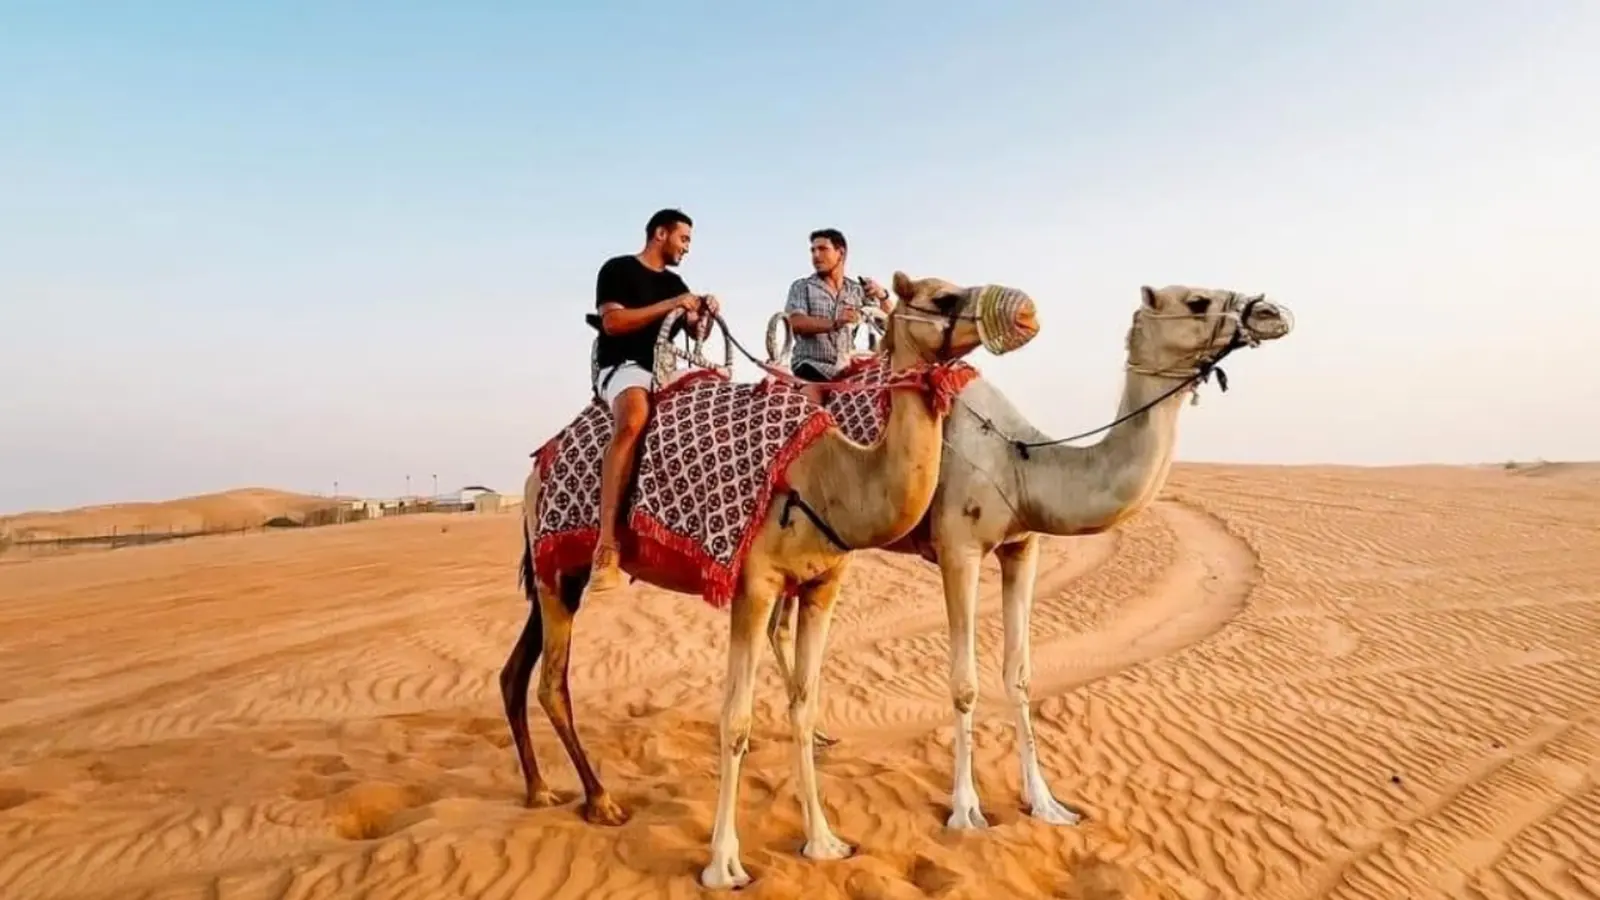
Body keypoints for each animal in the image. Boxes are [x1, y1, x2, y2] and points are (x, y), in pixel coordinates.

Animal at [503, 271, 1040, 890]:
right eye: (941, 298)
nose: (1026, 312)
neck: (827, 478)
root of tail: (535, 466)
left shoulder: (823, 585)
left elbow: (803, 709)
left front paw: (824, 841)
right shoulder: (753, 586)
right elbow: (735, 721)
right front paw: (723, 865)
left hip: (553, 572)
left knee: (519, 671)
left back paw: (540, 790)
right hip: (559, 562)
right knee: (552, 681)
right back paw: (601, 800)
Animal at [767, 284, 1295, 829]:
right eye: (1196, 301)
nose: (1273, 312)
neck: (1019, 461)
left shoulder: (1023, 547)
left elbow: (1019, 675)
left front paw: (1045, 802)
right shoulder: (959, 549)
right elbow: (965, 683)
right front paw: (965, 809)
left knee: (778, 627)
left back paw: (818, 733)